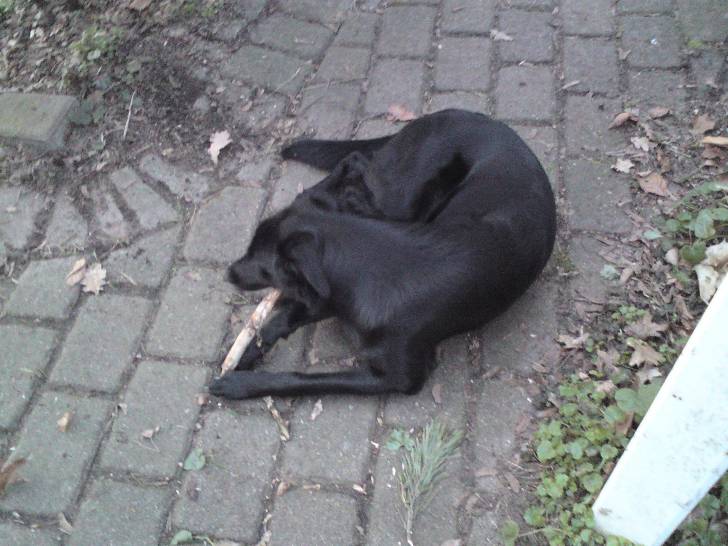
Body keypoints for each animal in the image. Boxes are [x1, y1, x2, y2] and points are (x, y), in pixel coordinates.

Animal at [209, 109, 556, 399]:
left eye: (262, 264)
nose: (229, 273)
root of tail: (464, 113)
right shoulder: (327, 297)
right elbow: (283, 318)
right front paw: (246, 352)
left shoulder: (399, 378)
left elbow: (306, 380)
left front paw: (242, 383)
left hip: (400, 195)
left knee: (355, 163)